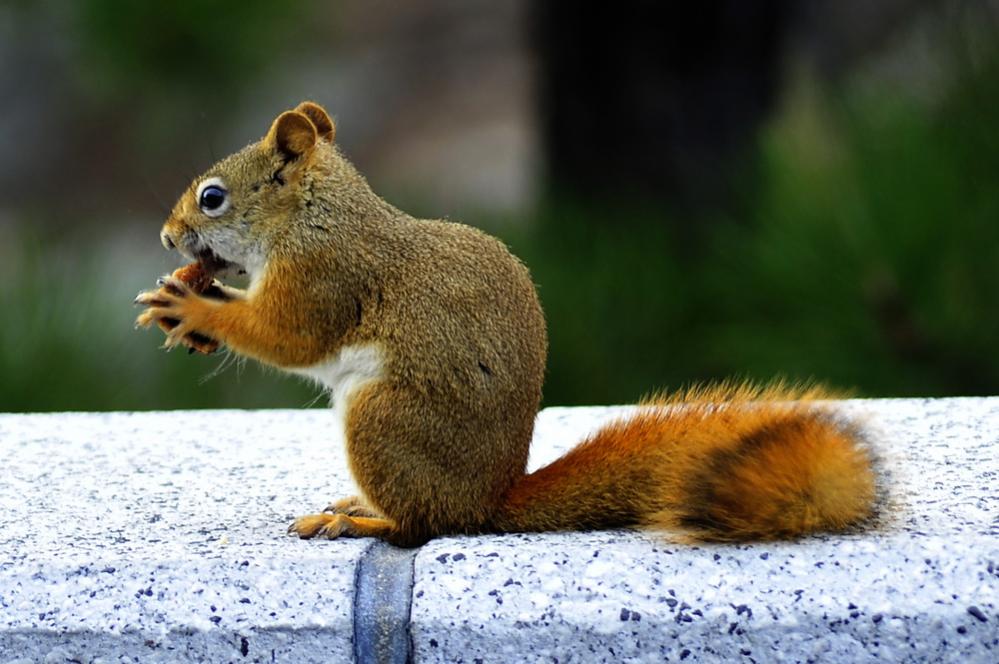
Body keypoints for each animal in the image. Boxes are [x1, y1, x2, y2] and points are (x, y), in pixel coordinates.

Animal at [135, 101, 879, 547]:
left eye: (212, 198)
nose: (168, 237)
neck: (315, 215)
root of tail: (489, 502)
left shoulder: (327, 277)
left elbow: (289, 337)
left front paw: (195, 309)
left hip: (381, 419)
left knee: (421, 522)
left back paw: (357, 522)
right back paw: (352, 506)